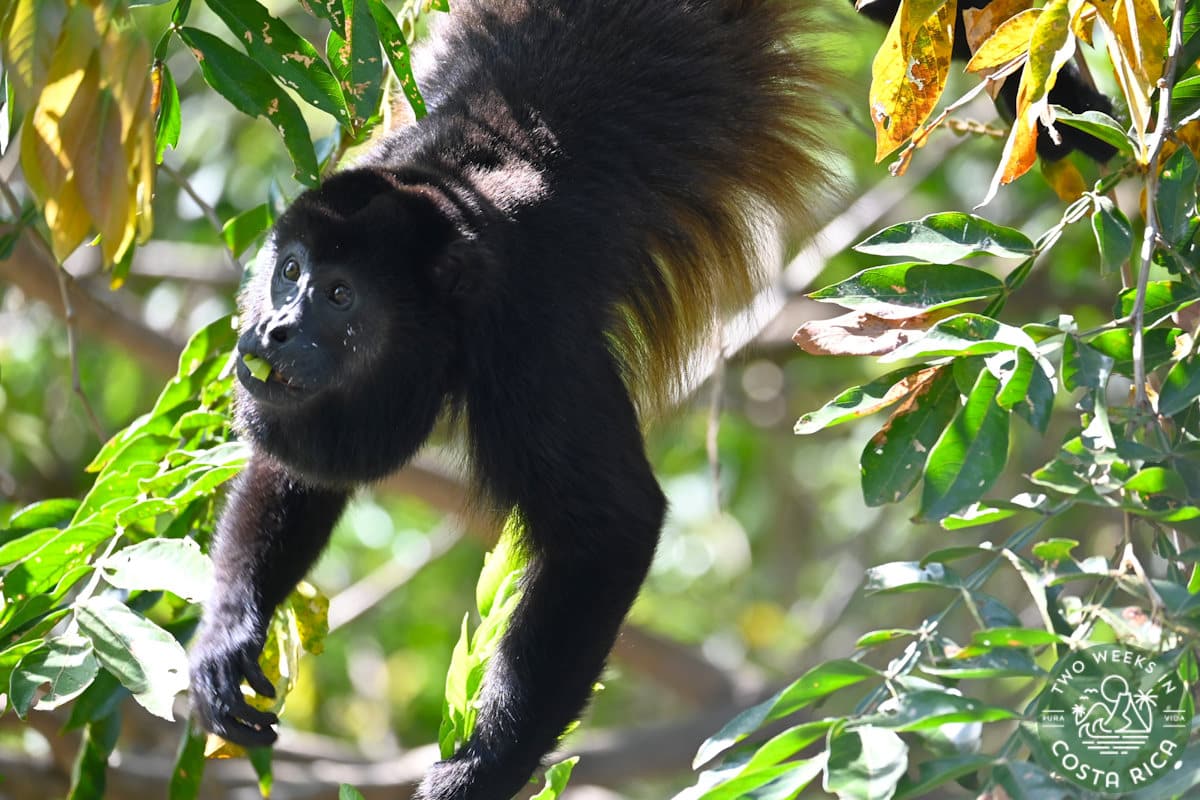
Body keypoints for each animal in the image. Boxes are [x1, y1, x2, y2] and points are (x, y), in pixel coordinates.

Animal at [187, 2, 830, 799]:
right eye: (289, 271)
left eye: (339, 296)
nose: (273, 330)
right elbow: (297, 469)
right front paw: (227, 635)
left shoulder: (530, 339)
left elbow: (610, 526)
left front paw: (479, 771)